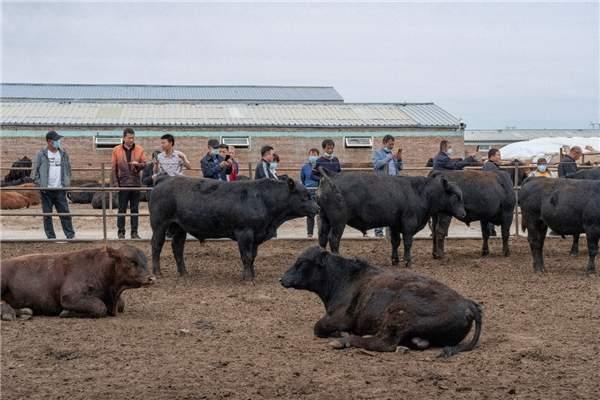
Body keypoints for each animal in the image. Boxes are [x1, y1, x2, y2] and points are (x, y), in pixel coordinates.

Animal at [0, 245, 155, 320]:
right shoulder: (70, 297)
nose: (151, 278)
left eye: (145, 260)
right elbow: (99, 307)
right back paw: (8, 314)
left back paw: (24, 312)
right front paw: (66, 312)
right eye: (131, 261)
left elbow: (121, 304)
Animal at [150, 177, 318, 280]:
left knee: (177, 247)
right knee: (157, 245)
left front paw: (252, 274)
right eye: (305, 196)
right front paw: (248, 278)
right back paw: (157, 272)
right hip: (159, 224)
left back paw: (184, 273)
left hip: (179, 227)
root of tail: (165, 179)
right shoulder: (245, 233)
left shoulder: (255, 236)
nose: (317, 208)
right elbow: (246, 256)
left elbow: (253, 256)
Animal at [282, 247, 482, 356]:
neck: (346, 278)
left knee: (385, 342)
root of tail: (467, 303)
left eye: (302, 262)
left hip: (399, 313)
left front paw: (340, 334)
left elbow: (318, 328)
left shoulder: (338, 318)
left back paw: (344, 341)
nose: (282, 279)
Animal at [316, 169, 466, 266]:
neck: (420, 192)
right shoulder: (409, 223)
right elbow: (407, 242)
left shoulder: (394, 224)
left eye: (461, 196)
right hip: (338, 221)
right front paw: (407, 261)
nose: (464, 213)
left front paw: (395, 260)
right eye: (455, 196)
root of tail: (332, 176)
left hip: (324, 219)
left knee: (322, 238)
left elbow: (395, 242)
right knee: (334, 239)